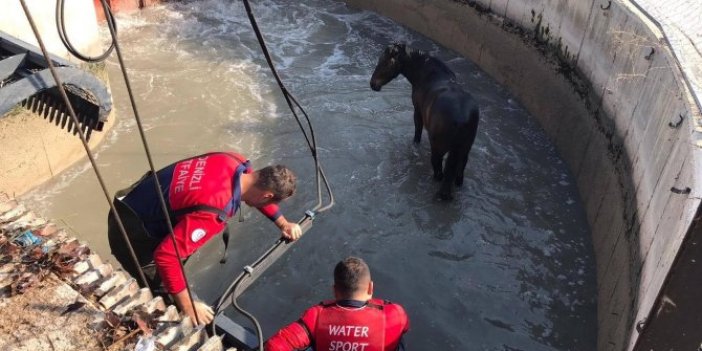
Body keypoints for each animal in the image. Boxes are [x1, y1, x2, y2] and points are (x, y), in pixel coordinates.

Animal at [372, 43, 482, 201]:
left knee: (439, 173)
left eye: (385, 62)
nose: (372, 84)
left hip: (438, 150)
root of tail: (461, 119)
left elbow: (417, 132)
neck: (428, 74)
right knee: (459, 174)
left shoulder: (417, 112)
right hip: (464, 151)